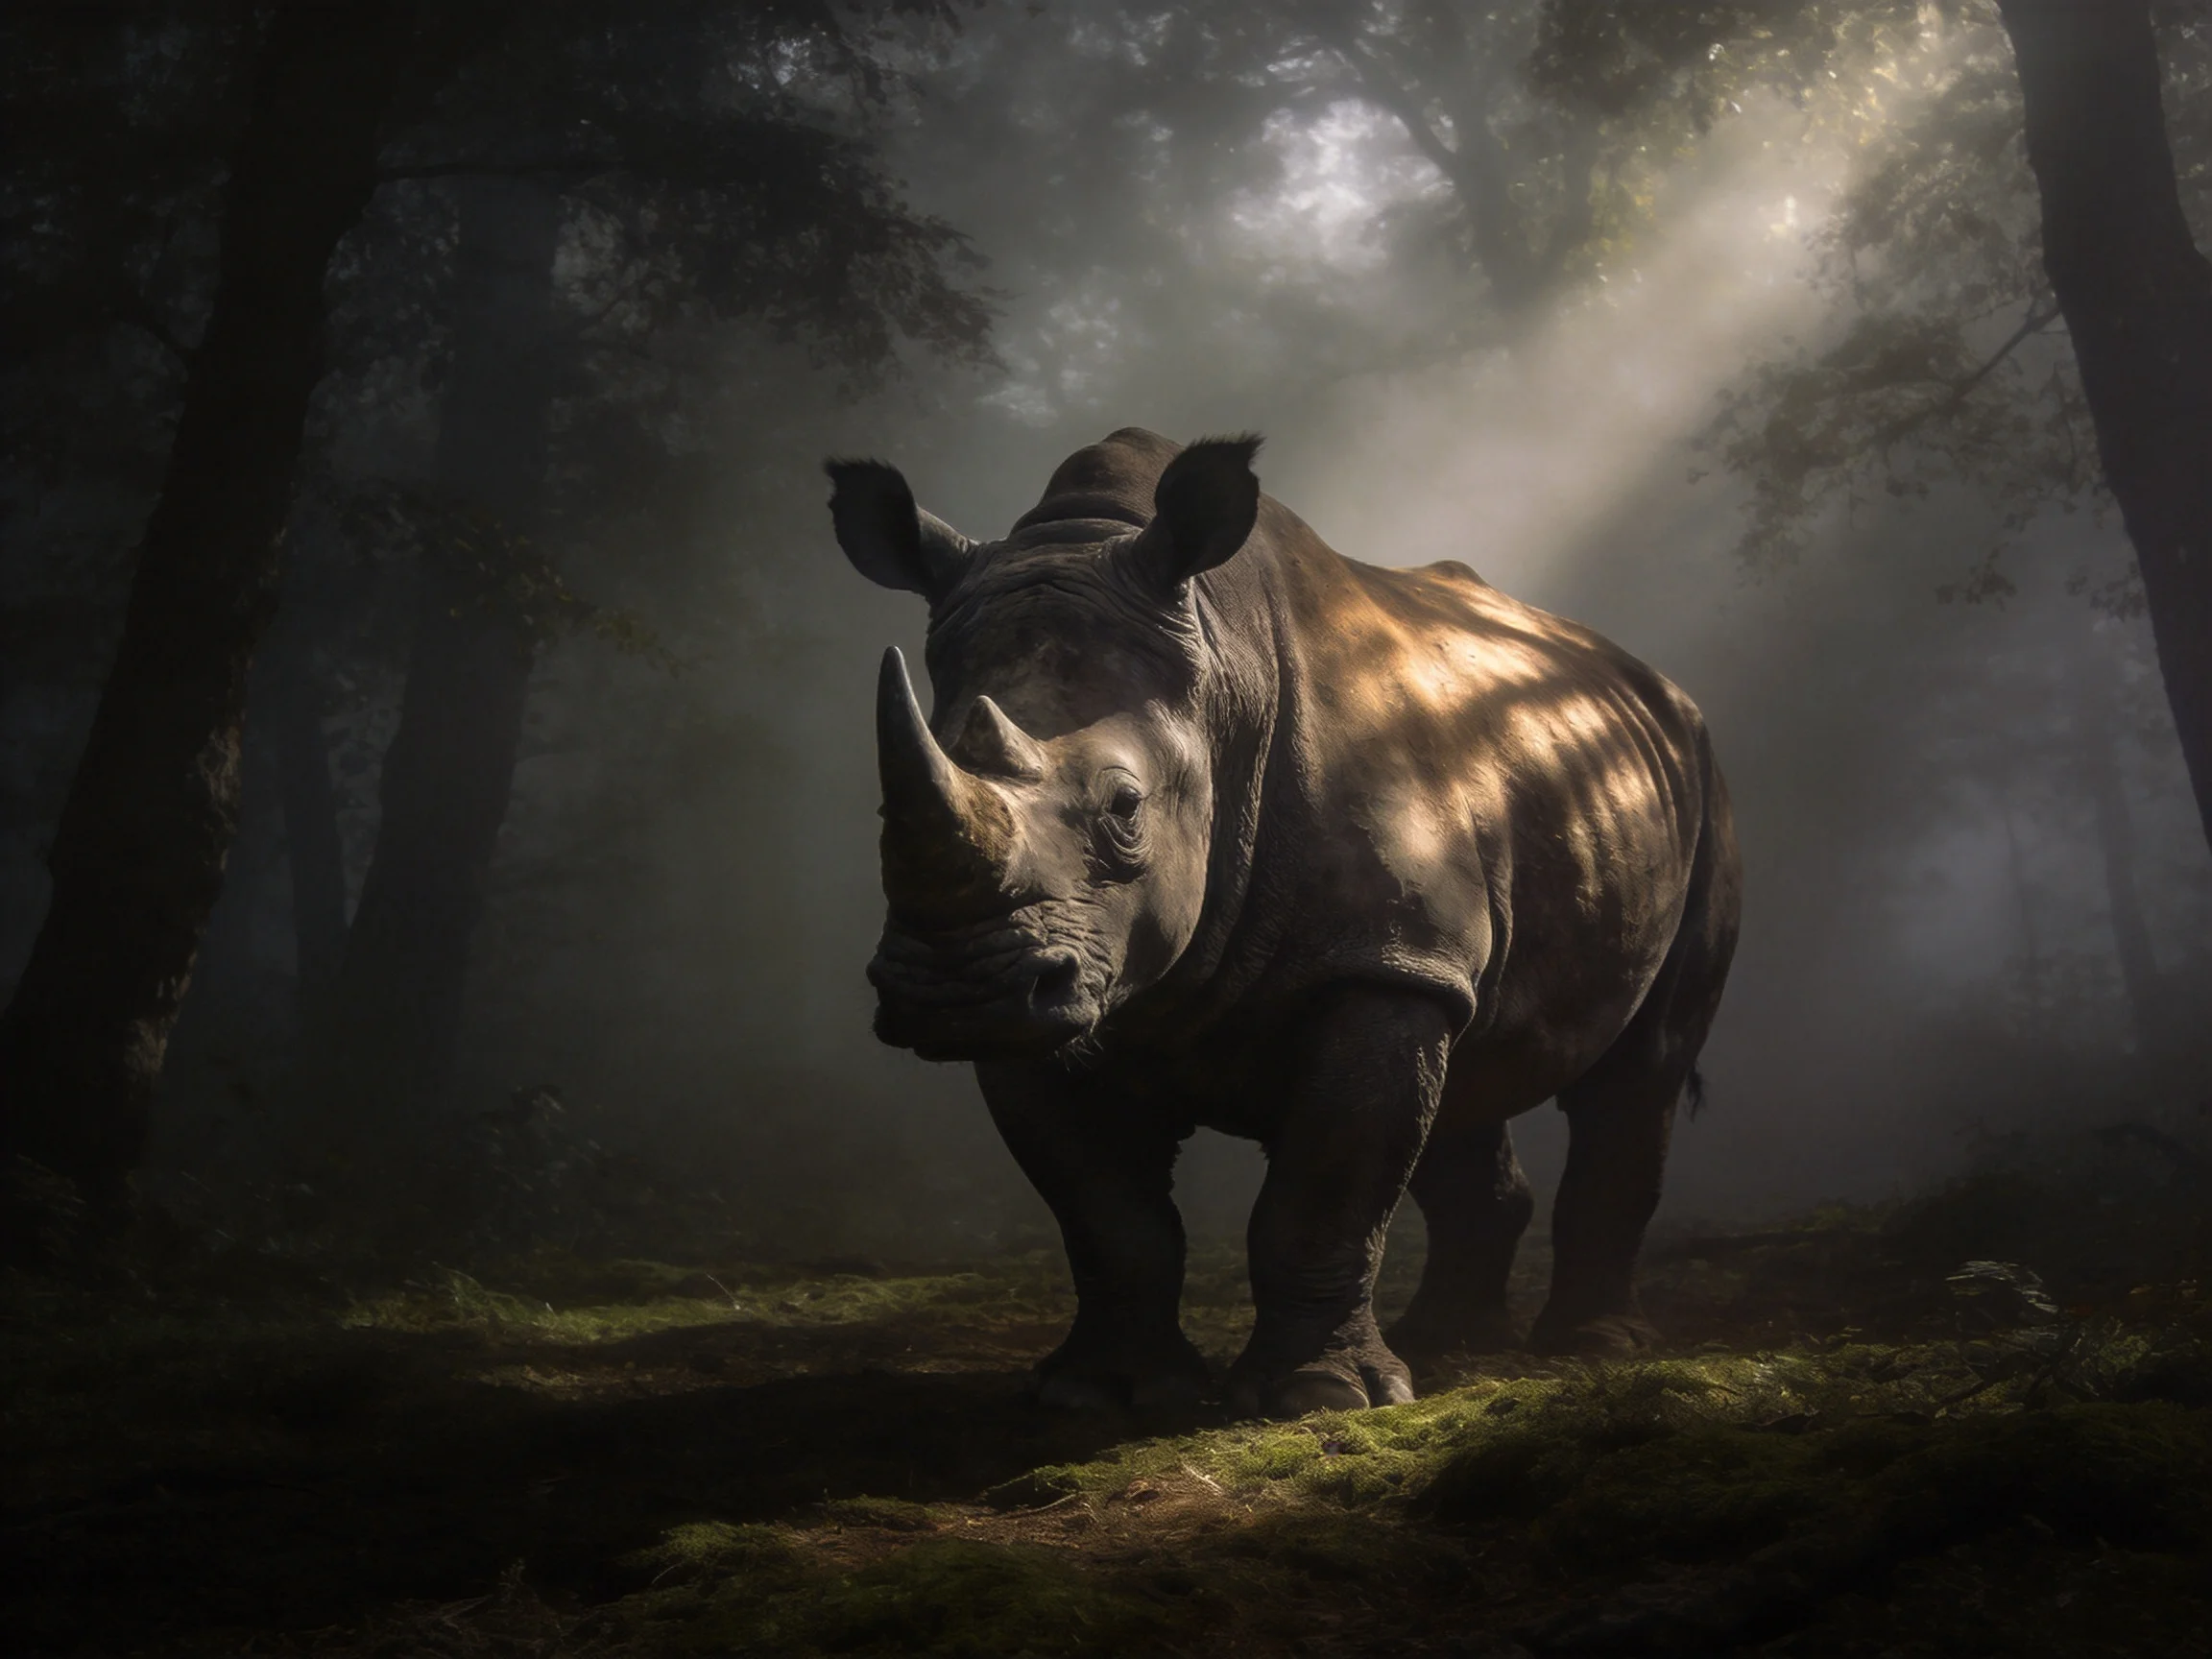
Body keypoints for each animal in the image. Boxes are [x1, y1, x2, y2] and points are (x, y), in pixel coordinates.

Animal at [827, 428, 1740, 1416]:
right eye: (878, 809)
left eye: (1124, 807)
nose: (955, 991)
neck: (1223, 680)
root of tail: (1656, 688)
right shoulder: (1061, 984)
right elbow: (1108, 1215)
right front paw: (1102, 1394)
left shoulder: (1374, 958)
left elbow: (1326, 1190)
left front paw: (1319, 1398)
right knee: (1468, 1071)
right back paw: (1449, 1343)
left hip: (1702, 783)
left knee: (1639, 1070)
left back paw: (1588, 1346)